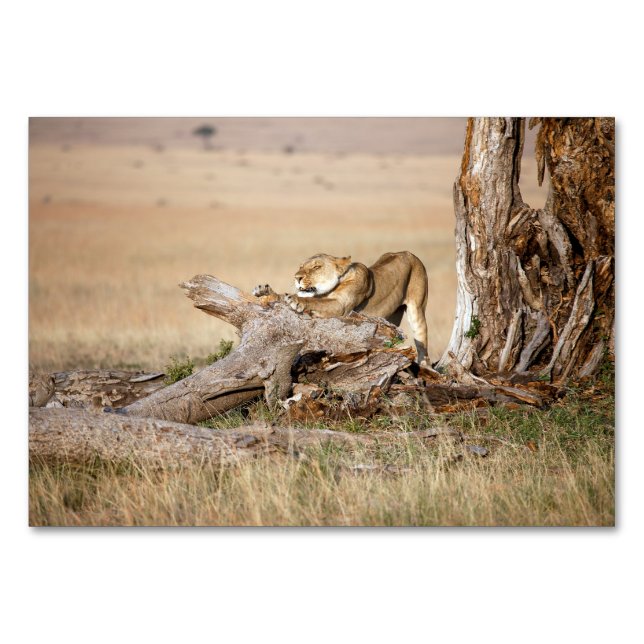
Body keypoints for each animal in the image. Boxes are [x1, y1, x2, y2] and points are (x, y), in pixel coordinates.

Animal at [252, 251, 429, 363]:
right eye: (301, 266)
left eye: (316, 267)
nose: (297, 277)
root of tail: (408, 252)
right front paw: (264, 292)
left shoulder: (340, 306)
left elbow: (314, 302)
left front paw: (296, 300)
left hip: (418, 311)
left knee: (423, 347)